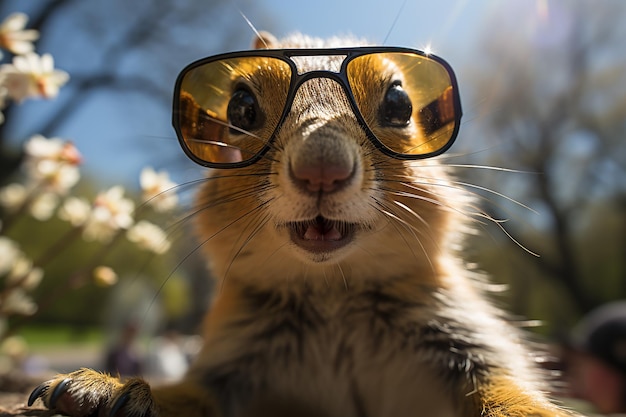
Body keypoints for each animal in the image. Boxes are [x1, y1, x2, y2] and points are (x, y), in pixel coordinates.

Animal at [28, 31, 576, 416]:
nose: (322, 168)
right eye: (241, 107)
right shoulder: (232, 357)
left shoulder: (465, 338)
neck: (333, 290)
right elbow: (193, 395)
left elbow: (506, 389)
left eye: (400, 103)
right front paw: (105, 390)